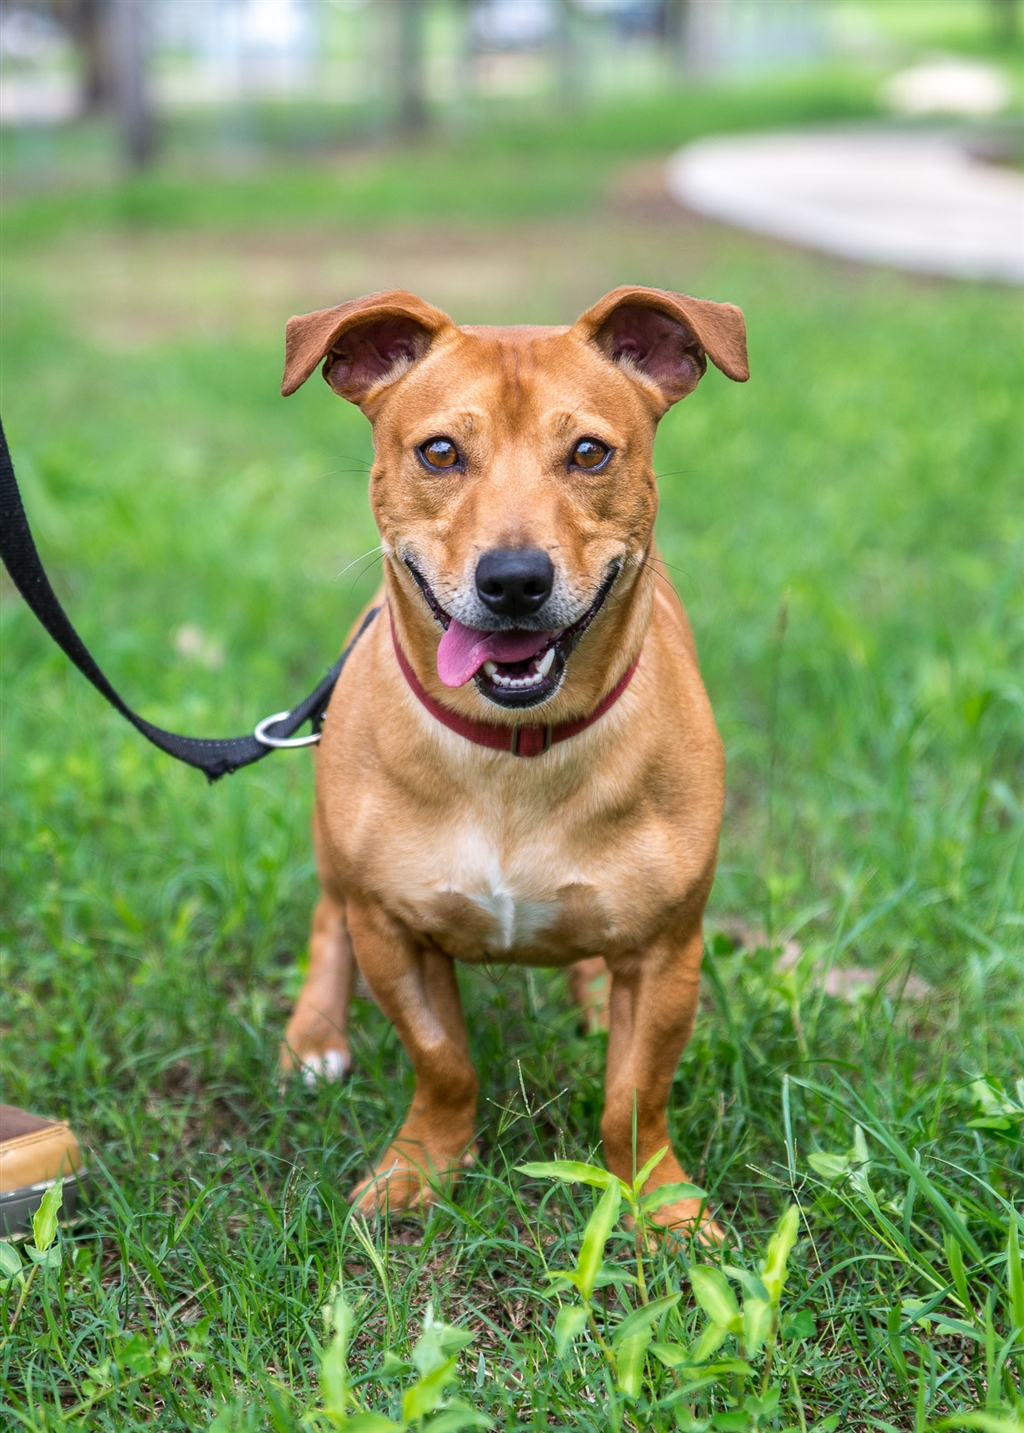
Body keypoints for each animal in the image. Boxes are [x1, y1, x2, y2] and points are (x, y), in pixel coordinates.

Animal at [276, 288, 750, 1232]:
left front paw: (658, 1202)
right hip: (336, 856)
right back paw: (314, 1035)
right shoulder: (391, 931)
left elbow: (634, 1097)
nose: (515, 579)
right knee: (326, 916)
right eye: (440, 451)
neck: (516, 749)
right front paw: (423, 1165)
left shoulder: (670, 949)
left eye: (590, 451)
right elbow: (443, 1063)